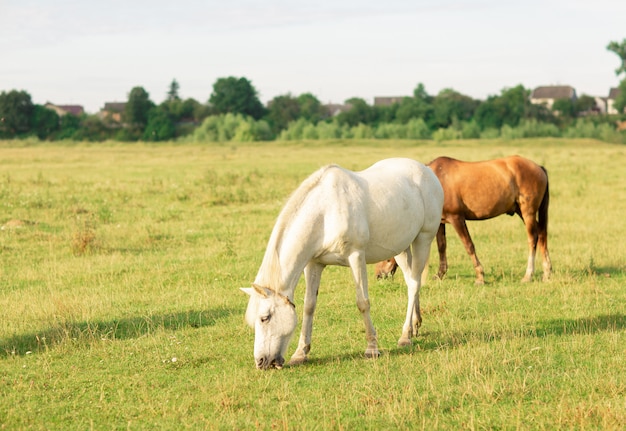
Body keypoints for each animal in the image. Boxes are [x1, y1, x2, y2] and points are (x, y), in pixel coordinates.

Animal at [241, 159, 442, 372]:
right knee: (412, 281)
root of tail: (426, 170)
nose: (261, 362)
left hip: (423, 239)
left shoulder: (356, 256)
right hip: (401, 247)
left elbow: (363, 302)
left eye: (265, 318)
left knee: (414, 284)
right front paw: (301, 353)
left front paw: (372, 348)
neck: (324, 212)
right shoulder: (314, 264)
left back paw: (405, 336)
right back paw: (414, 326)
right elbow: (309, 306)